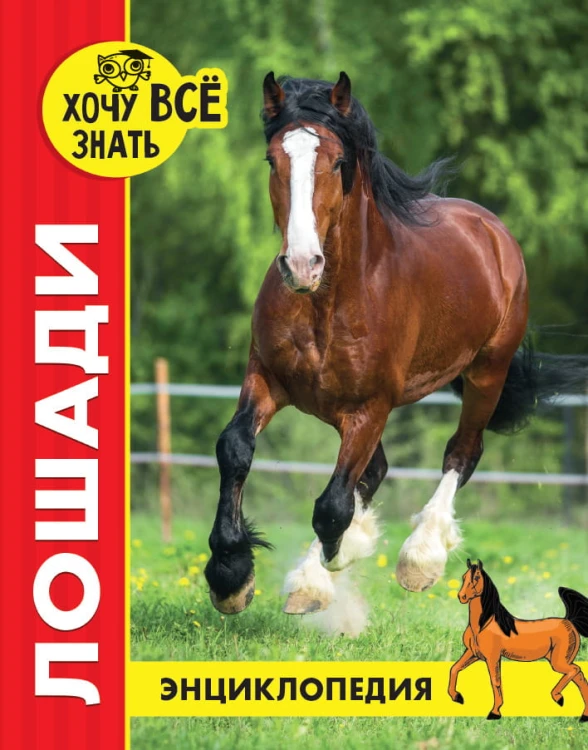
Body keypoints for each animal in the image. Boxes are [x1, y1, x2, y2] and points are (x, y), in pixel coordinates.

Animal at [203, 71, 580, 618]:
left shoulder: (370, 407)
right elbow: (235, 448)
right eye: (273, 160)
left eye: (338, 161)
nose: (302, 265)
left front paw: (338, 559)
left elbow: (332, 506)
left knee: (461, 453)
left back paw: (418, 559)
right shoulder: (267, 378)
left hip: (486, 372)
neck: (328, 301)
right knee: (375, 470)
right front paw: (231, 575)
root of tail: (491, 229)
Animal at [450, 559, 588, 721]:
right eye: (464, 577)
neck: (483, 625)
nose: (462, 596)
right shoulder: (473, 653)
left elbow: (495, 681)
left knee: (575, 670)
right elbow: (455, 668)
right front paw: (457, 697)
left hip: (558, 661)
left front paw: (494, 712)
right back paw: (583, 715)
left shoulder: (492, 657)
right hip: (558, 659)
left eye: (477, 577)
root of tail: (569, 621)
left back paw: (558, 697)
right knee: (579, 677)